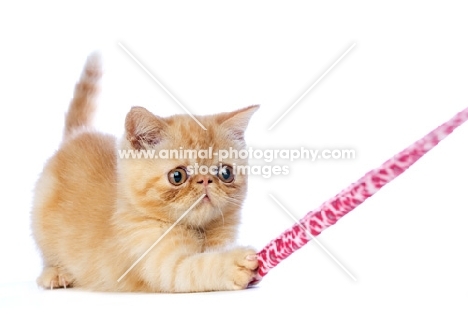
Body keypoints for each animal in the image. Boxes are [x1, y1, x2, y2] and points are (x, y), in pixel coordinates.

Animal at [32, 53, 260, 294]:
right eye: (177, 176)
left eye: (225, 173)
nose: (205, 180)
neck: (199, 231)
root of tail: (78, 134)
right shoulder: (163, 264)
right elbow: (196, 267)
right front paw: (234, 263)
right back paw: (55, 274)